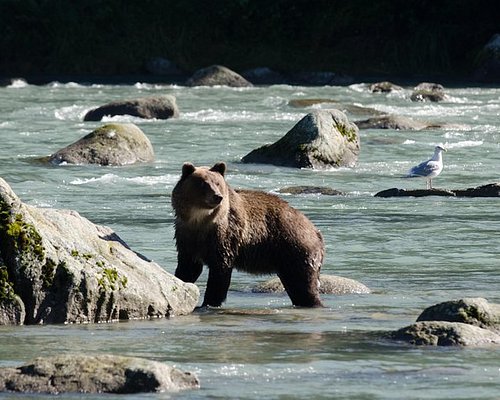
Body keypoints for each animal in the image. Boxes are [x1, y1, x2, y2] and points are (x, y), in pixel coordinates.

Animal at [171, 161, 324, 308]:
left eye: (217, 183)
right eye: (203, 183)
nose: (217, 197)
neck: (199, 219)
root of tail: (316, 231)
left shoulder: (224, 236)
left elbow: (220, 270)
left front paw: (209, 302)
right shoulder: (187, 236)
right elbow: (188, 267)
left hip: (294, 248)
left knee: (303, 284)